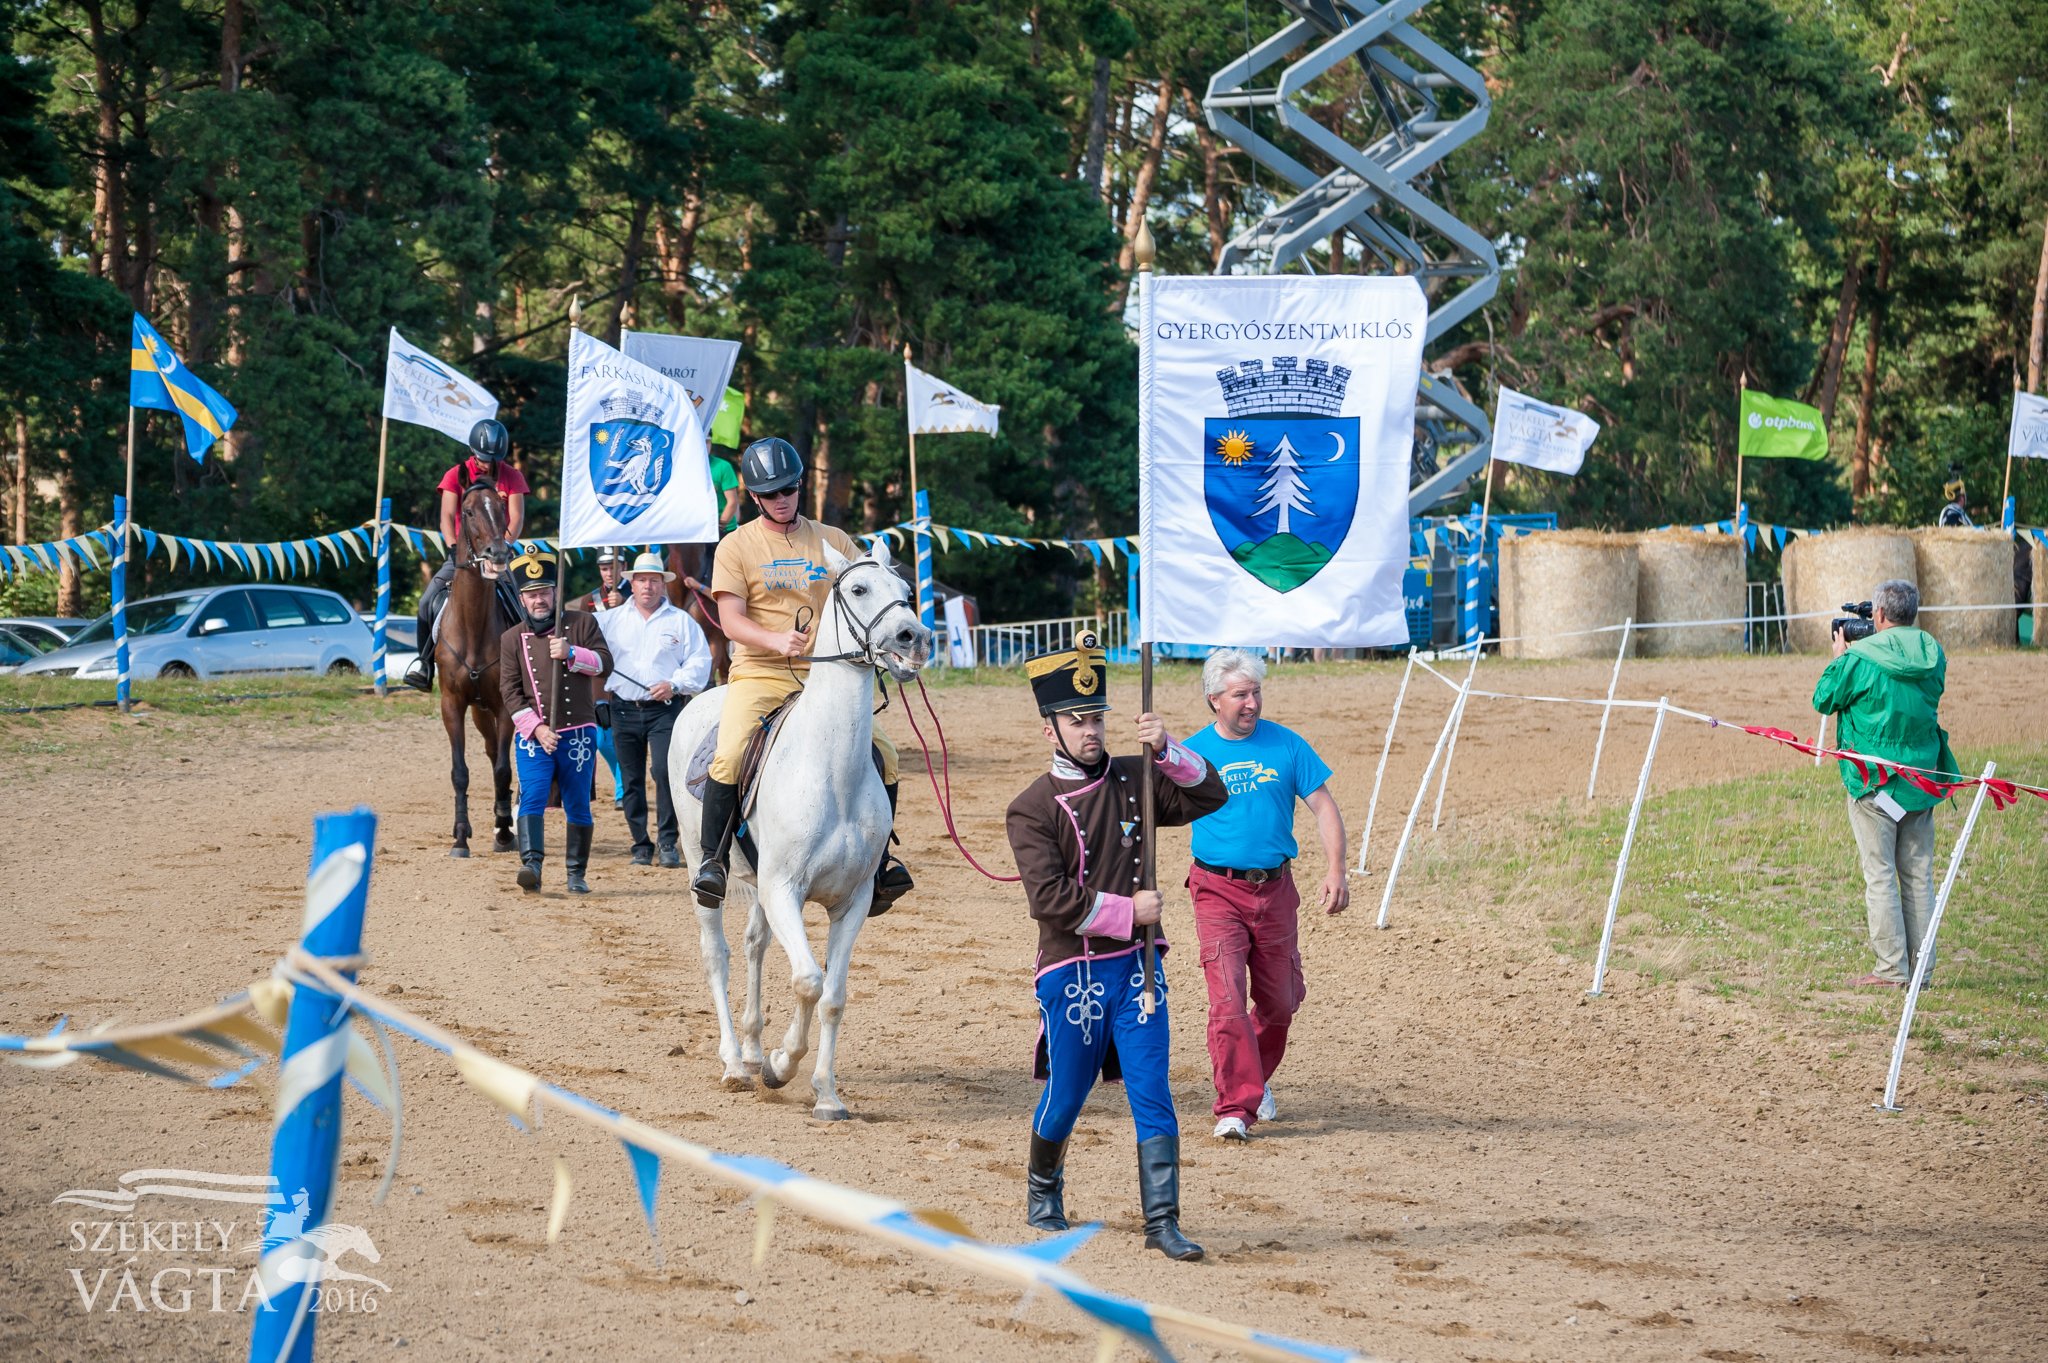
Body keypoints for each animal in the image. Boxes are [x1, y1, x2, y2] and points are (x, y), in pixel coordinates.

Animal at [667, 536, 933, 1121]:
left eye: (907, 592)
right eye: (859, 589)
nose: (914, 638)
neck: (830, 770)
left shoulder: (852, 901)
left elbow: (832, 996)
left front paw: (827, 1095)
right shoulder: (784, 889)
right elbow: (808, 981)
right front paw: (780, 1066)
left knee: (754, 946)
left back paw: (750, 1047)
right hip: (705, 873)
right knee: (718, 956)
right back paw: (735, 1063)